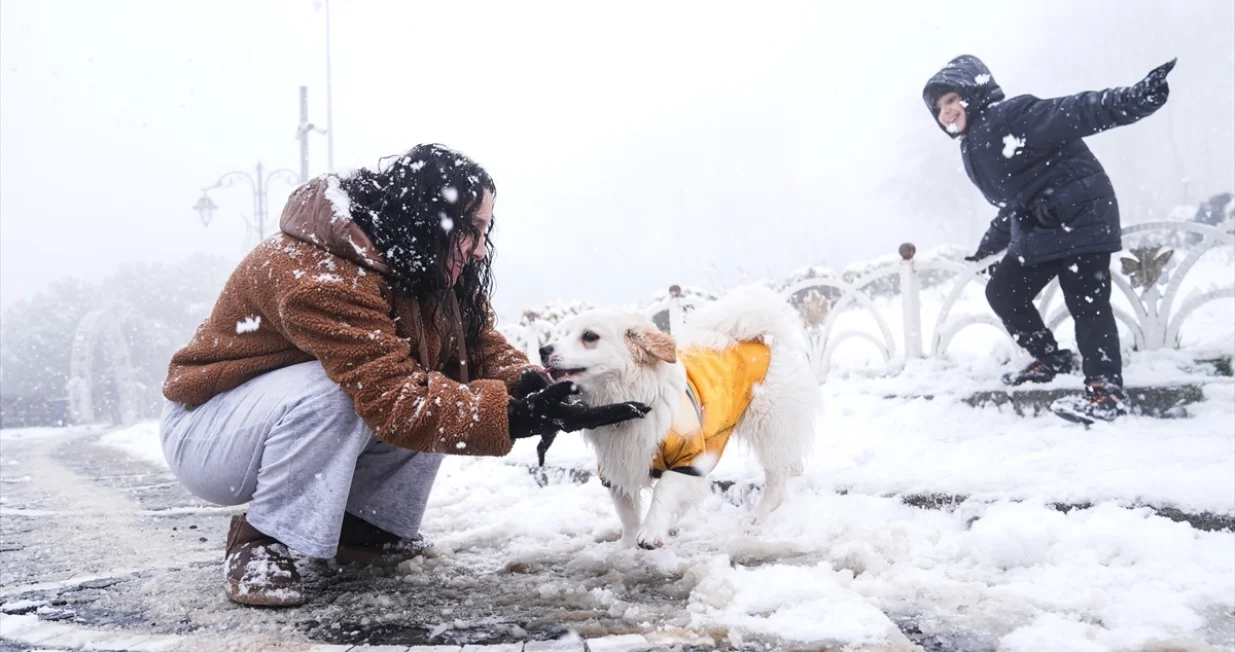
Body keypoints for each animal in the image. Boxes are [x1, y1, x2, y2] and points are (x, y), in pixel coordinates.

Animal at [543, 287, 820, 548]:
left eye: (589, 336)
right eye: (565, 333)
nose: (543, 349)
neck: (627, 398)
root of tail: (763, 340)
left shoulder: (691, 459)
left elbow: (664, 489)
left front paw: (651, 532)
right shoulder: (618, 467)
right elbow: (628, 515)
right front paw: (627, 548)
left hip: (770, 428)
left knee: (776, 476)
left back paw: (758, 516)